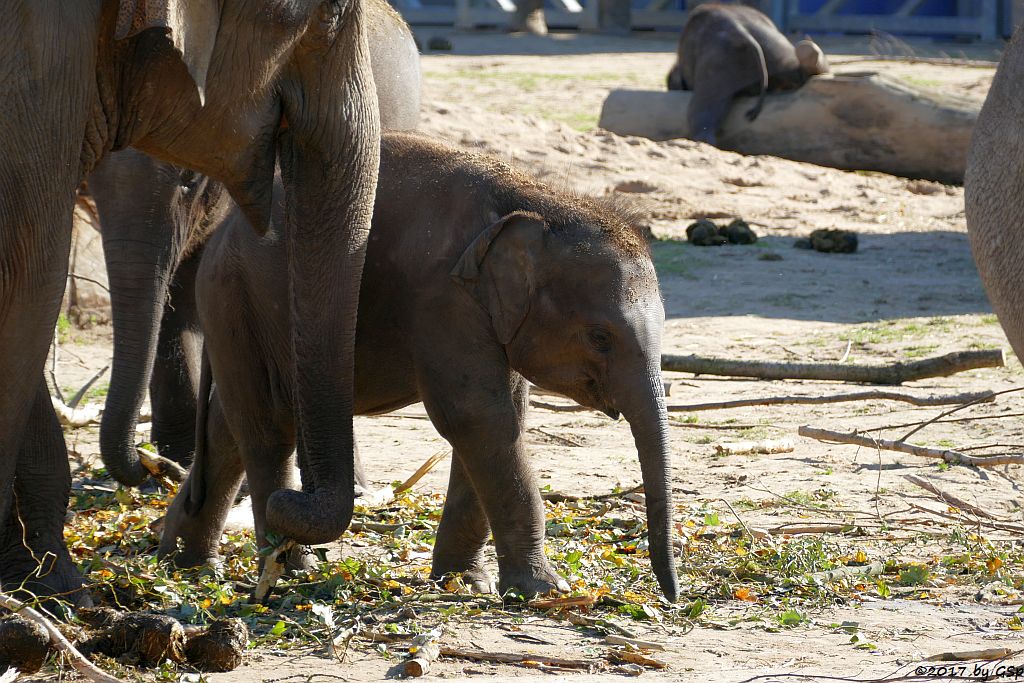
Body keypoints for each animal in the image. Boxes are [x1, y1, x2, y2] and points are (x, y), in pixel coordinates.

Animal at [0, 1, 380, 610]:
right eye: (330, 15)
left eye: (188, 181)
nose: (154, 466)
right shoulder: (34, 88)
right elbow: (29, 281)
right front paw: (53, 592)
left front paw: (45, 585)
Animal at [159, 131, 679, 602]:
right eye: (600, 337)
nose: (670, 596)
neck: (538, 200)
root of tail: (221, 233)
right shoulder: (441, 297)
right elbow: (476, 417)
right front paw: (543, 591)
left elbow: (498, 418)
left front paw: (463, 582)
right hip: (235, 299)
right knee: (267, 428)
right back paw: (290, 569)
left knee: (230, 426)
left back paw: (185, 565)